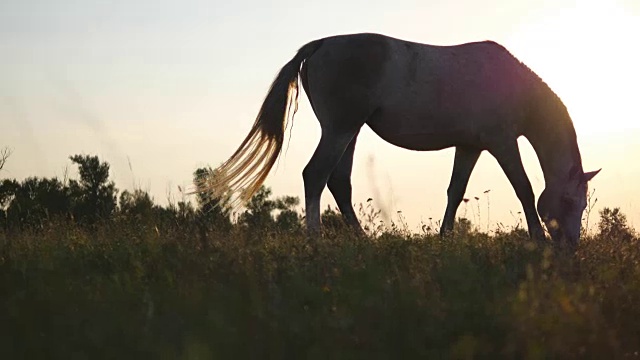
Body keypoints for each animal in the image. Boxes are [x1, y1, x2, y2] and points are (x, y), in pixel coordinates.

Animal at [200, 33, 600, 248]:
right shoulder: (502, 143)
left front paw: (444, 238)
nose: (571, 247)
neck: (510, 84)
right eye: (569, 201)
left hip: (349, 132)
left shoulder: (469, 146)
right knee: (315, 175)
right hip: (340, 129)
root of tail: (321, 45)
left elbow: (455, 191)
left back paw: (361, 241)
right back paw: (316, 240)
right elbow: (524, 189)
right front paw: (539, 240)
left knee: (338, 182)